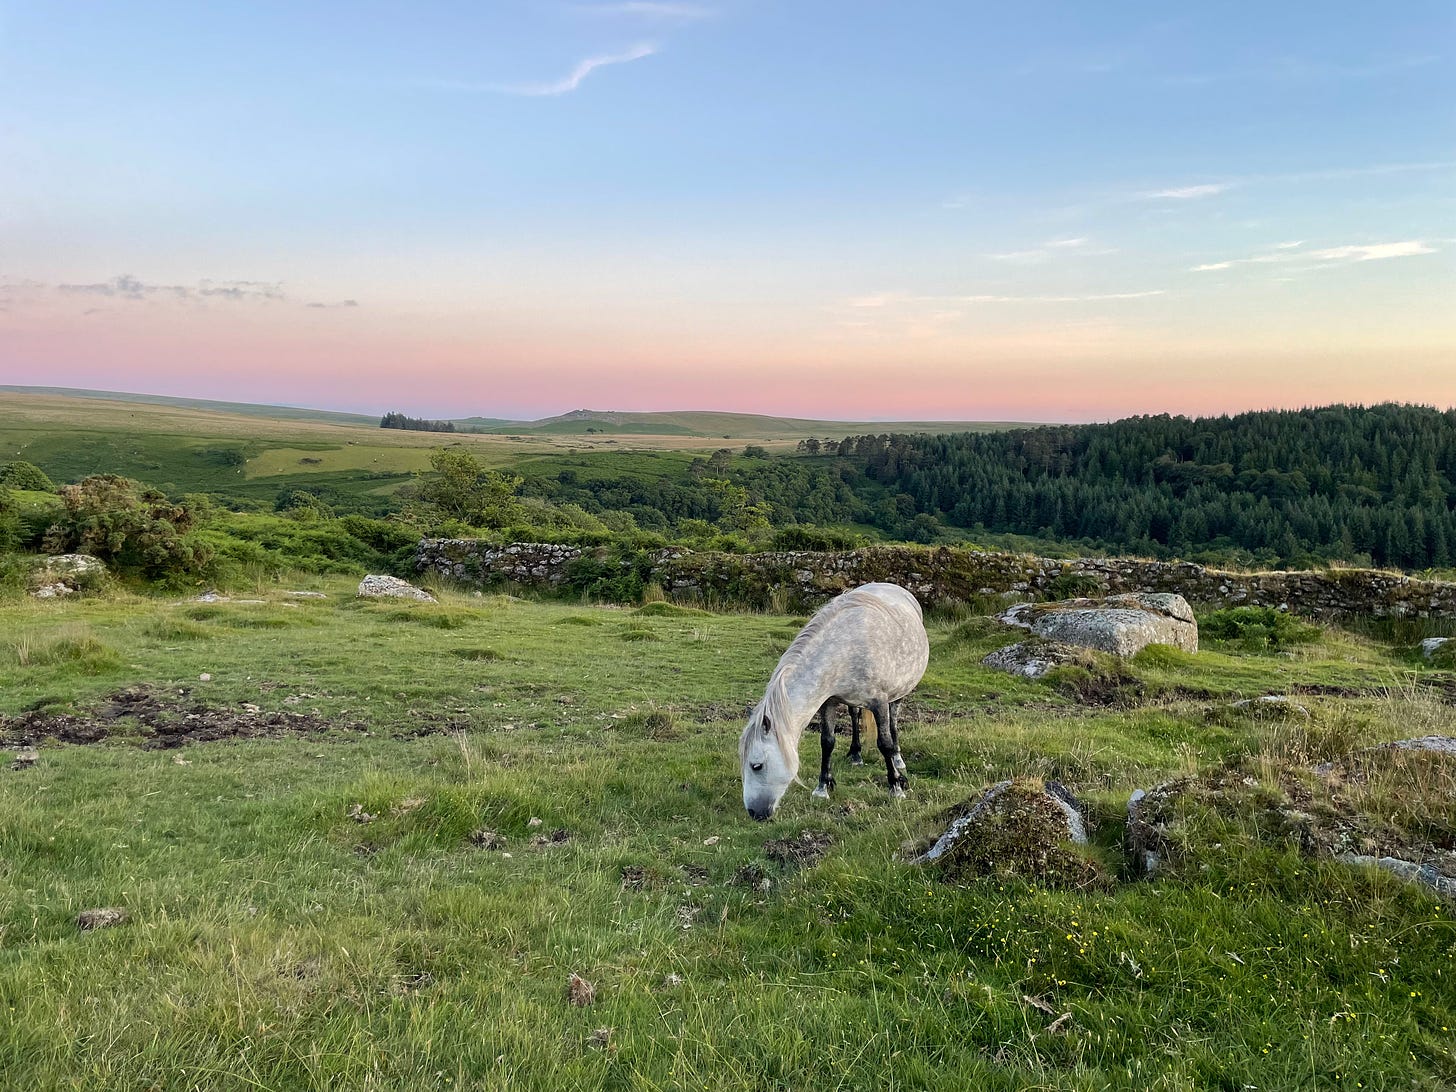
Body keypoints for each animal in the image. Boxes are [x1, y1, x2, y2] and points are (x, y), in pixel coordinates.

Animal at [739, 582, 931, 821]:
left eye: (756, 766)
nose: (754, 813)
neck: (846, 647)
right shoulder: (828, 701)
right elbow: (827, 742)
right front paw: (823, 787)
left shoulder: (879, 702)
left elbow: (884, 742)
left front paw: (895, 786)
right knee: (854, 715)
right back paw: (856, 754)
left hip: (899, 691)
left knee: (894, 719)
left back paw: (897, 760)